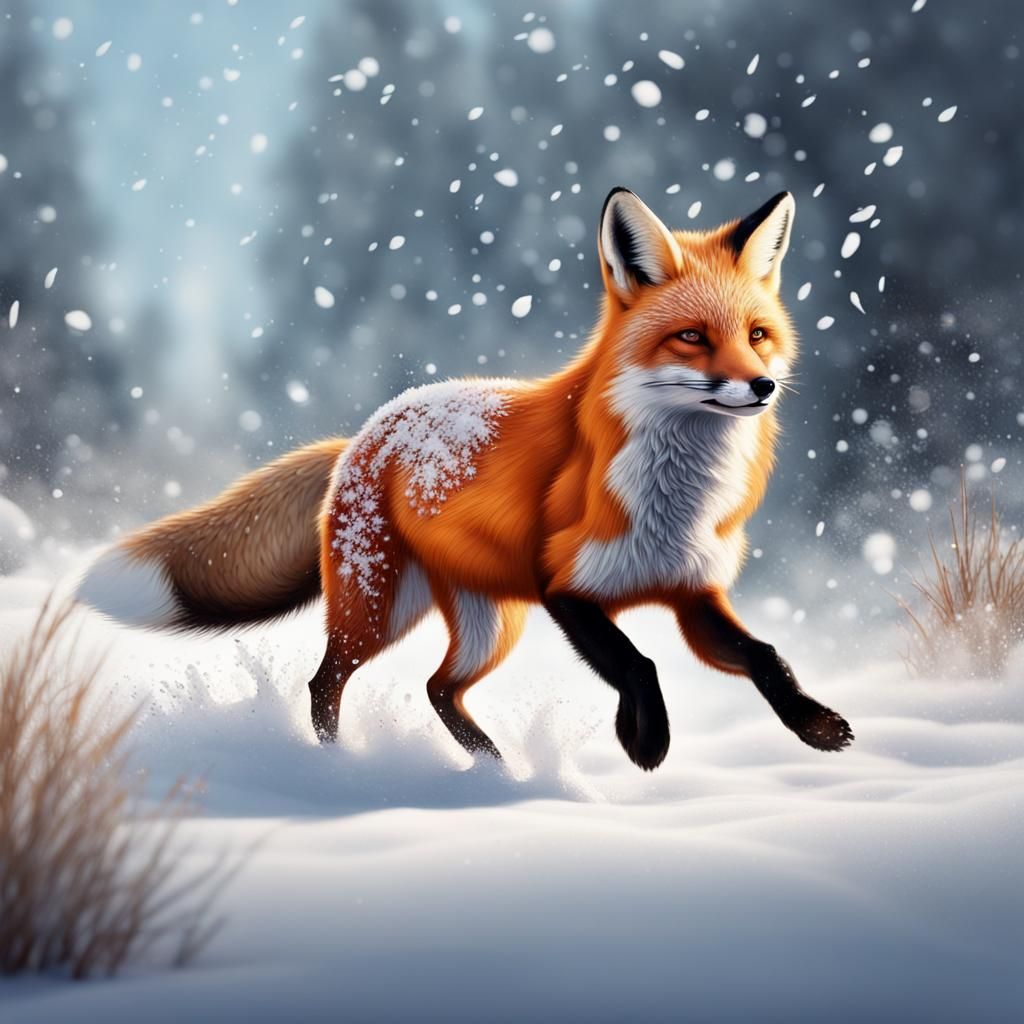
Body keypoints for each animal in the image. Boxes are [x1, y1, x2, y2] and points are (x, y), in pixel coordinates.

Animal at [77, 187, 853, 771]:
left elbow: (767, 657)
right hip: (379, 608)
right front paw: (645, 741)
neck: (675, 498)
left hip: (489, 624)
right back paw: (340, 764)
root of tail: (365, 431)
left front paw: (817, 726)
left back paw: (493, 766)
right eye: (692, 337)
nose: (761, 386)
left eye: (757, 335)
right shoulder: (565, 589)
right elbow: (639, 663)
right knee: (326, 680)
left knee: (438, 688)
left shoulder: (693, 591)